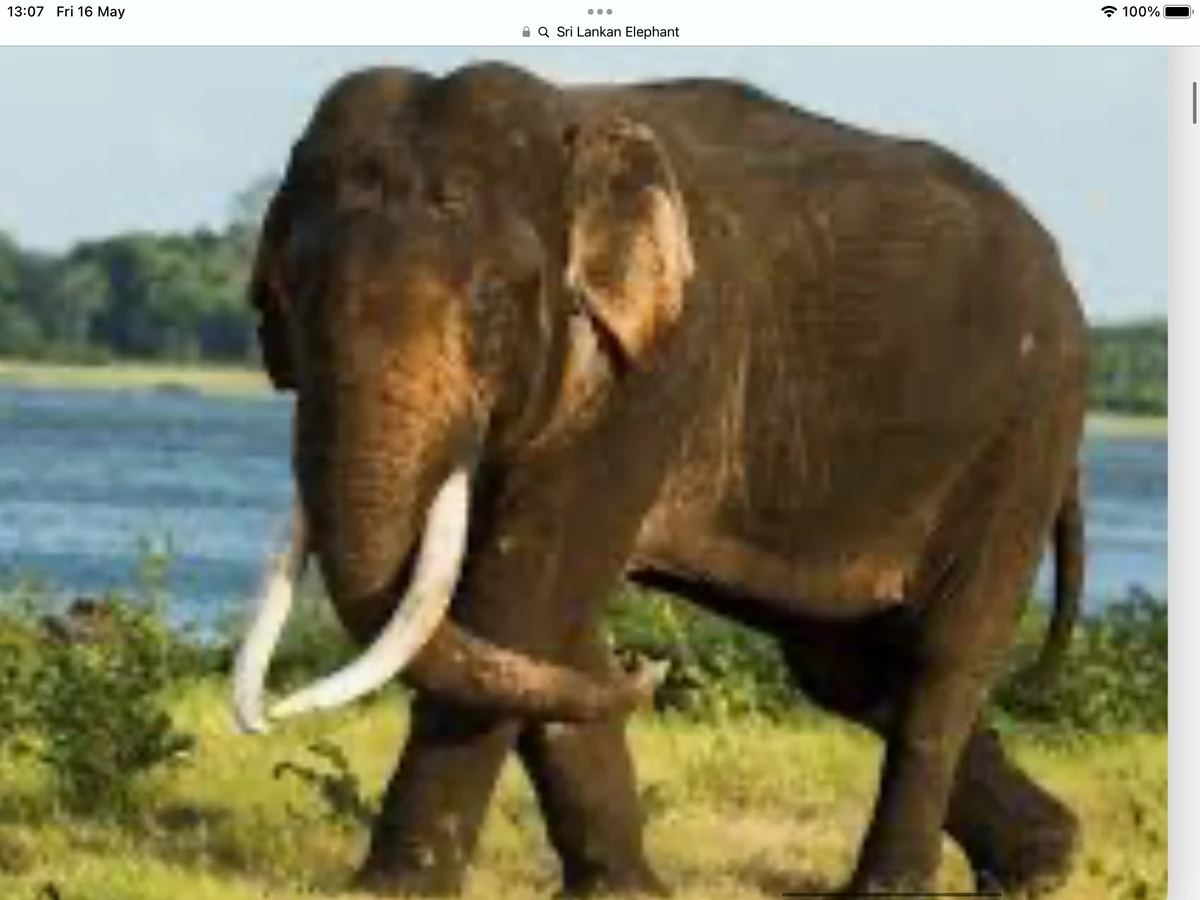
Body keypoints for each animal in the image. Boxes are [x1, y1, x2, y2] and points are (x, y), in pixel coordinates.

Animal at [230, 61, 1088, 897]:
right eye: (282, 298)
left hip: (1024, 433)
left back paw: (896, 888)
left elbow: (525, 599)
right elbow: (546, 630)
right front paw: (627, 892)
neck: (571, 133)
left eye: (490, 302)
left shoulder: (661, 364)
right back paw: (1042, 863)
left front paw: (393, 890)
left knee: (943, 657)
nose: (652, 668)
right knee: (847, 666)